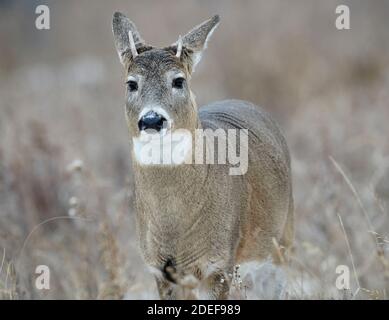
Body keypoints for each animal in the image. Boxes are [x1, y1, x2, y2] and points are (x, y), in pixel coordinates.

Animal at [110, 10, 292, 300]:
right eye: (131, 84)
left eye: (178, 80)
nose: (151, 119)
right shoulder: (160, 269)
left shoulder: (219, 263)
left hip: (282, 241)